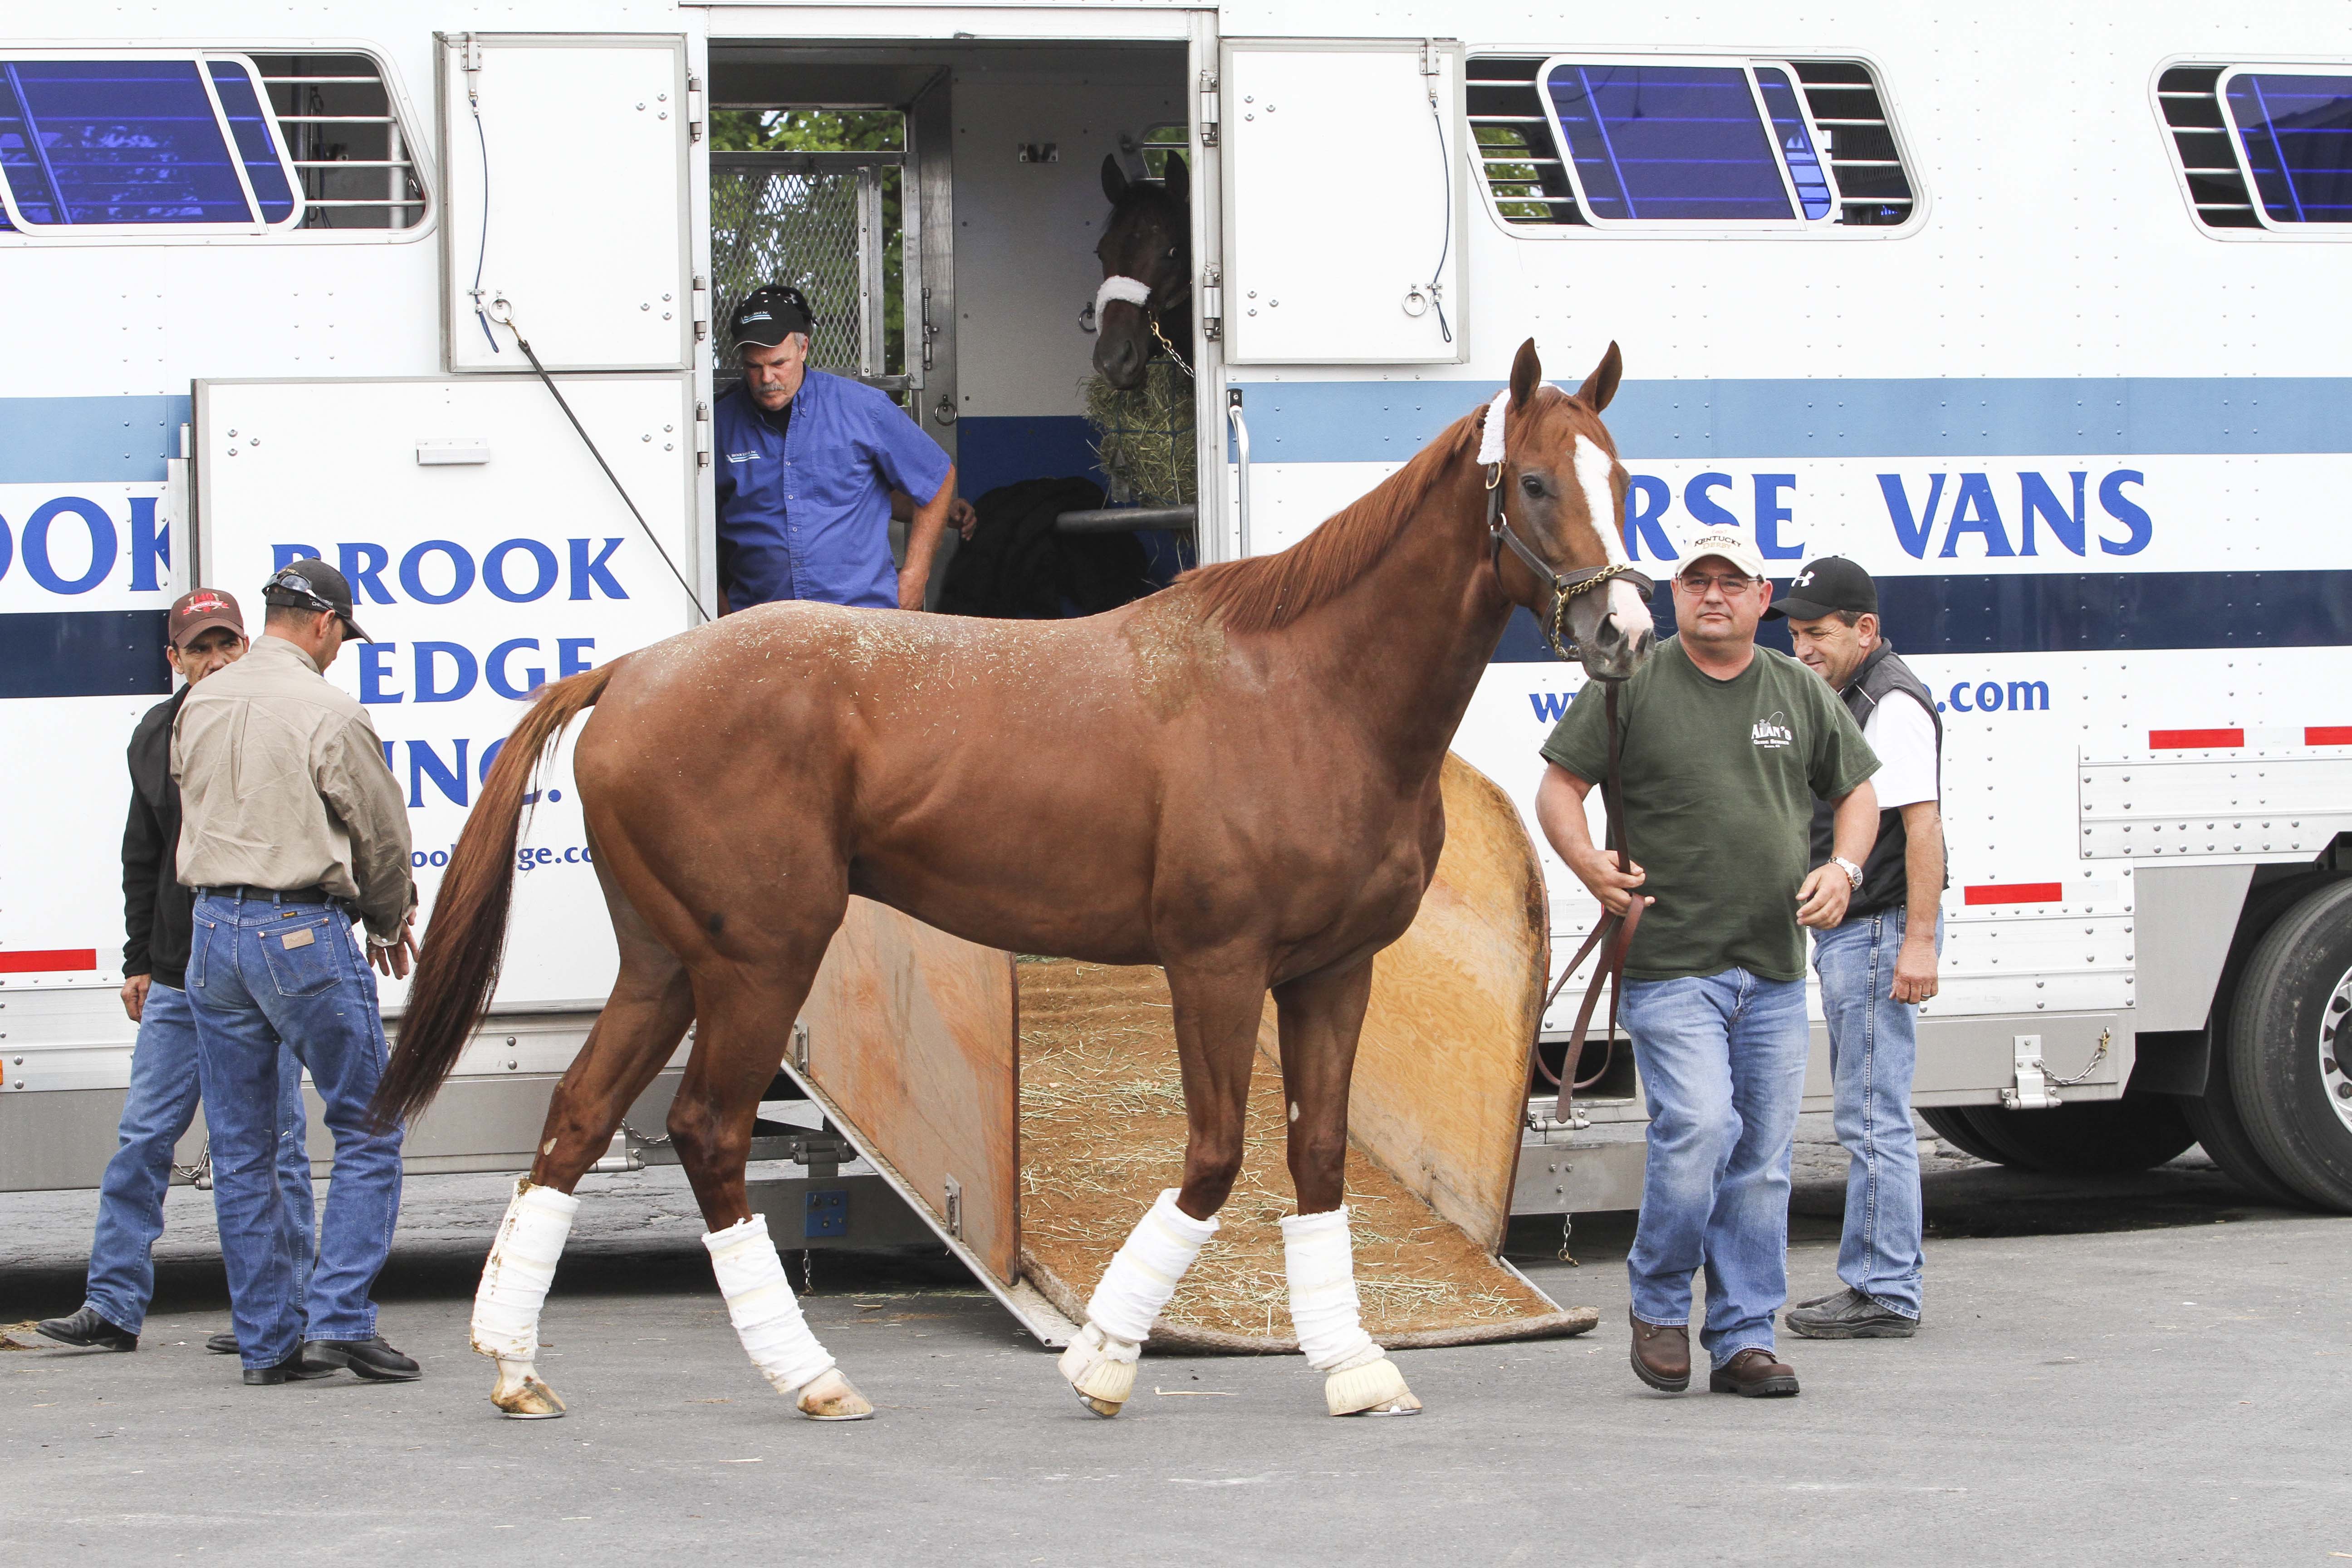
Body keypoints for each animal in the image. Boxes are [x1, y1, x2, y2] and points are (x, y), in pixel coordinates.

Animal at [376, 338, 1656, 1429]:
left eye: (1624, 476)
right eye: (1535, 482)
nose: (1624, 630)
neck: (1301, 691)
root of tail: (631, 672)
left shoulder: (1331, 972)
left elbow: (1319, 1157)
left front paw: (1353, 1366)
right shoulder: (1216, 967)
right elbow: (1215, 1156)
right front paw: (1105, 1361)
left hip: (665, 964)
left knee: (578, 1118)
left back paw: (518, 1366)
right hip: (755, 963)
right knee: (709, 1133)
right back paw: (811, 1374)